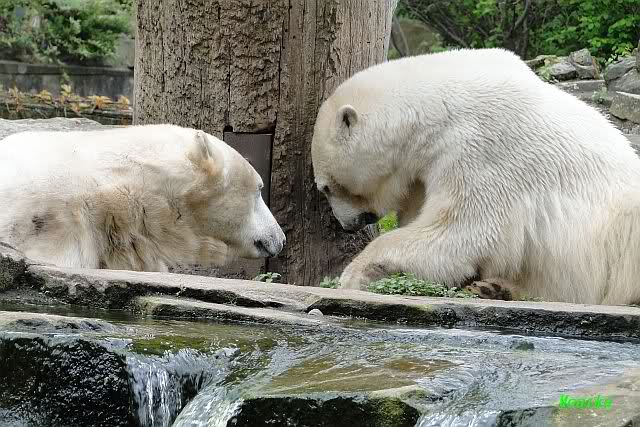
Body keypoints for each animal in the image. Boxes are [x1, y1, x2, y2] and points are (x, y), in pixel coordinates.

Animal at [311, 47, 640, 306]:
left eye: (326, 187)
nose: (349, 225)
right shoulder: (425, 169)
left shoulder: (483, 148)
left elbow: (462, 230)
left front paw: (354, 273)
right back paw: (494, 287)